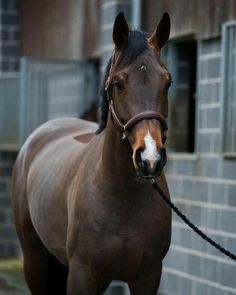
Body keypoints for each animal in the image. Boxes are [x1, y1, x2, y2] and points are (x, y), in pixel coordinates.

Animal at [11, 12, 171, 295]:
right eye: (118, 83)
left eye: (167, 82)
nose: (150, 158)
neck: (123, 198)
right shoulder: (82, 275)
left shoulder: (148, 276)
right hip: (34, 259)